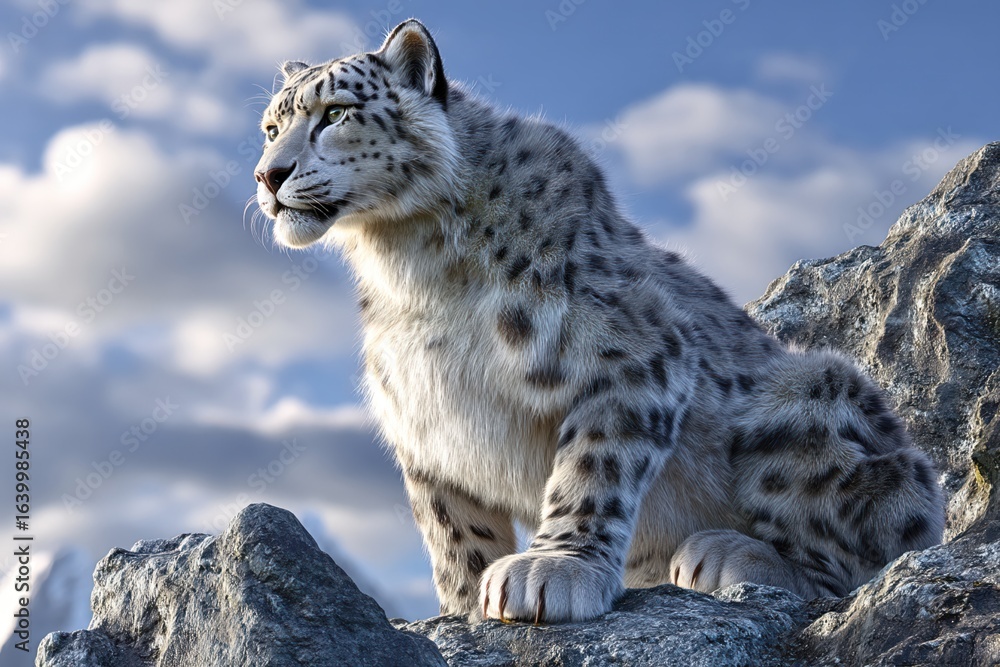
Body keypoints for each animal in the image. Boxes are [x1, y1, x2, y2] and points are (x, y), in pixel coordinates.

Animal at [253, 19, 945, 623]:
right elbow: (453, 532)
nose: (268, 174)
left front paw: (551, 571)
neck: (405, 261)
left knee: (867, 559)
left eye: (335, 112)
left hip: (814, 403)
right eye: (270, 126)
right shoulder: (423, 422)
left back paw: (724, 555)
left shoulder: (634, 354)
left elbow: (593, 466)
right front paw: (461, 608)